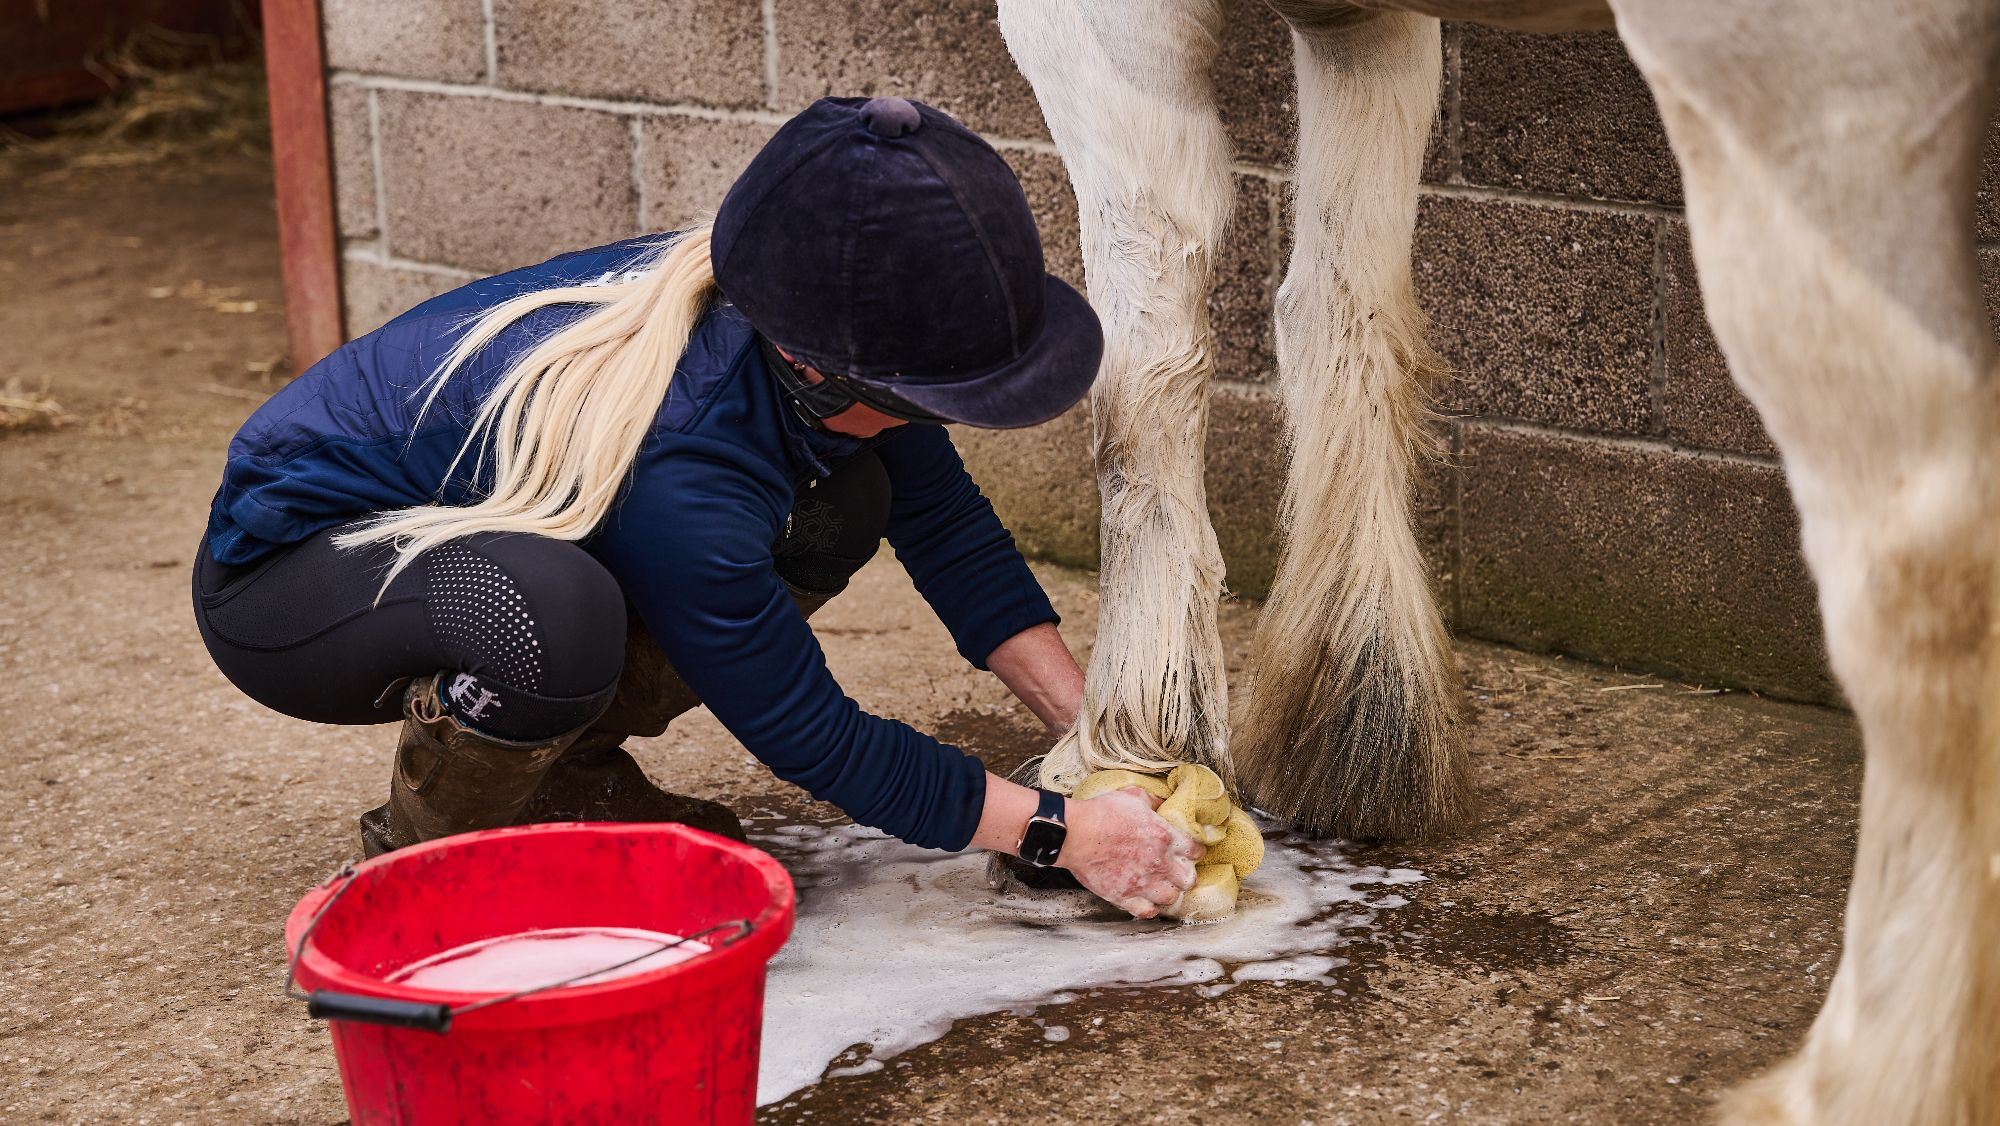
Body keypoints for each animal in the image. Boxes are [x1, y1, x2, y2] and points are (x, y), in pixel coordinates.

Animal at [996, 0, 1999, 1120]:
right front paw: (1356, 720)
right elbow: (1338, 310)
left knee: (1918, 568)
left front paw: (1125, 762)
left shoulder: (1100, 29)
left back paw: (1870, 1073)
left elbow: (1142, 375)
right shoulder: (1364, 27)